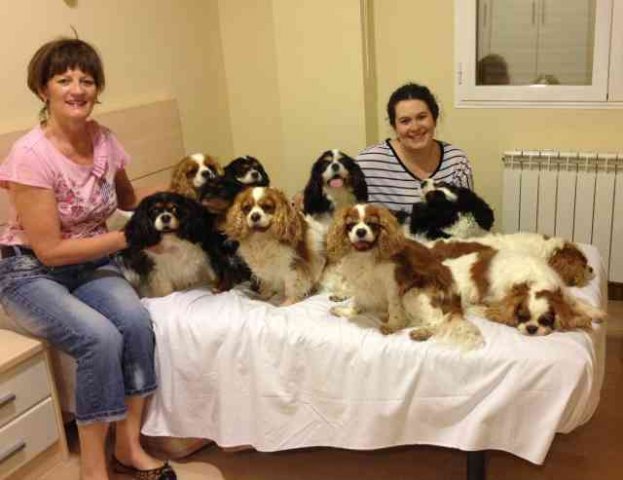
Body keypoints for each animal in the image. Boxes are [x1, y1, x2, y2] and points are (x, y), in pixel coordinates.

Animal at [330, 202, 486, 348]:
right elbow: (358, 301)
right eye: (351, 224)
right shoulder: (361, 284)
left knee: (438, 321)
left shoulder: (393, 285)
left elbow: (394, 307)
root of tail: (456, 300)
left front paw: (393, 325)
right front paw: (348, 311)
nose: (361, 231)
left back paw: (423, 332)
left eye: (372, 224)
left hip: (413, 292)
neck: (367, 254)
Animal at [442, 246, 608, 336]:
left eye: (545, 320)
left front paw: (594, 312)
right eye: (521, 316)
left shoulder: (562, 293)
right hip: (468, 291)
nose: (532, 328)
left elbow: (576, 304)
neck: (535, 280)